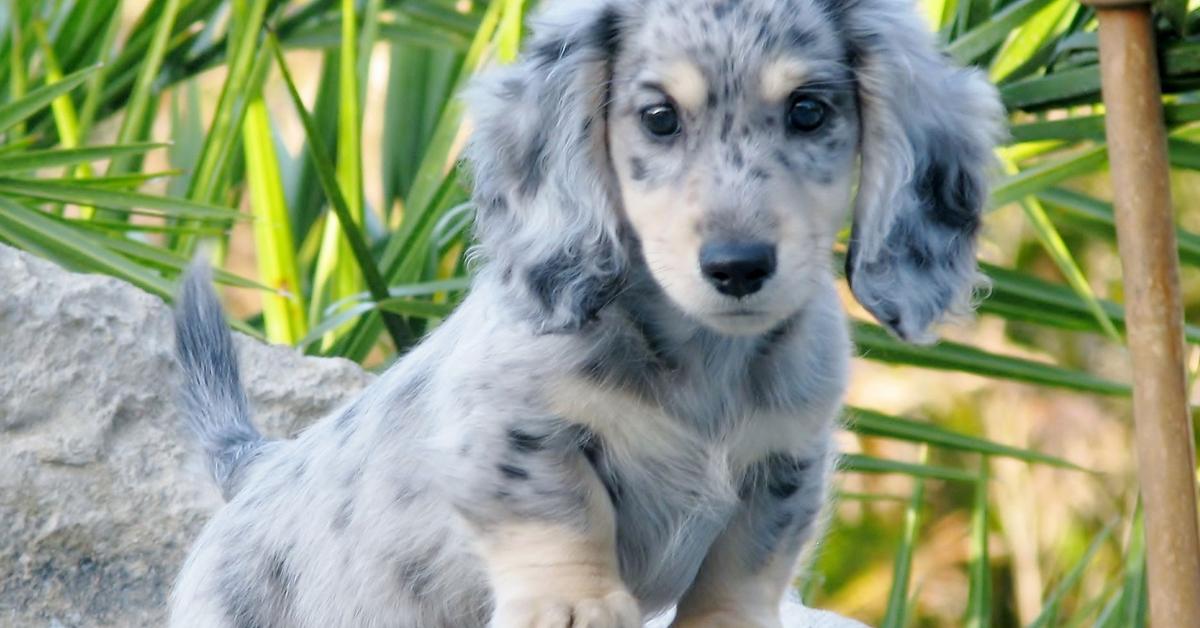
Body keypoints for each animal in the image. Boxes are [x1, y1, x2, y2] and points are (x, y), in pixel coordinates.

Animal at [164, 0, 998, 624]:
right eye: (659, 117)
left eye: (809, 111)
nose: (737, 266)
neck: (702, 359)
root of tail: (254, 466)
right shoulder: (516, 429)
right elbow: (560, 511)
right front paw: (573, 606)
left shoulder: (784, 462)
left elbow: (744, 563)